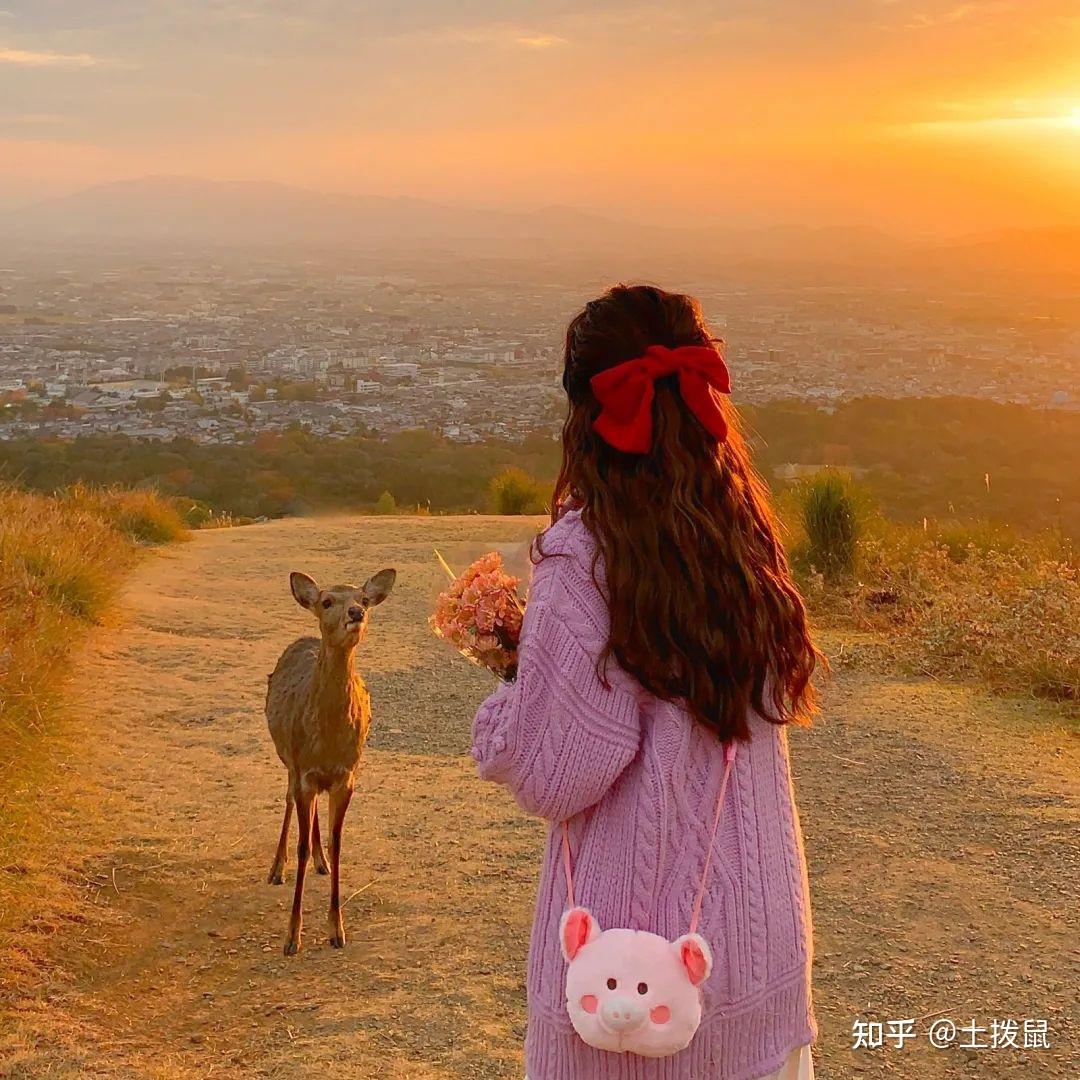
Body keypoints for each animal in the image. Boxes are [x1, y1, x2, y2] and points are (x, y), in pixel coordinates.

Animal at [265, 565, 397, 954]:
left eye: (364, 598)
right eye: (326, 601)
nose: (356, 612)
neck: (326, 741)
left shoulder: (346, 775)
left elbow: (338, 845)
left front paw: (337, 930)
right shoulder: (303, 770)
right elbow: (300, 846)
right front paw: (291, 937)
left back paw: (319, 861)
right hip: (287, 759)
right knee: (288, 802)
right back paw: (275, 869)